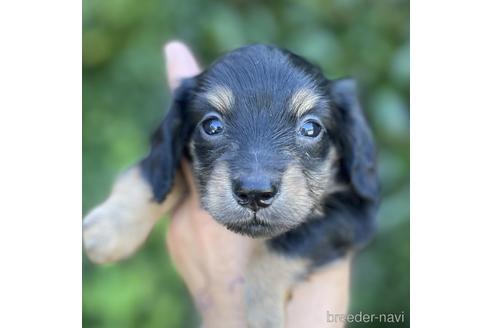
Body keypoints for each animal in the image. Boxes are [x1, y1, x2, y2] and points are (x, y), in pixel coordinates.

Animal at [82, 44, 378, 328]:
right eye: (212, 124)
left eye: (311, 128)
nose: (255, 194)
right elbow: (150, 174)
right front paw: (109, 228)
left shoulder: (355, 213)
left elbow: (289, 242)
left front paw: (264, 314)